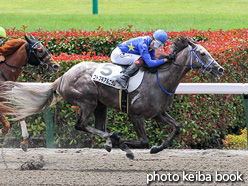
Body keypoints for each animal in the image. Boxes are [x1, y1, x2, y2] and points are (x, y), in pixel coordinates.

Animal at [0, 36, 224, 158]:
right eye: (202, 54)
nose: (220, 69)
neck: (161, 79)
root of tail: (63, 77)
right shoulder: (136, 115)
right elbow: (143, 141)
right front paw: (126, 142)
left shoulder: (158, 113)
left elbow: (177, 127)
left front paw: (158, 147)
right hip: (88, 101)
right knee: (81, 125)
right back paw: (113, 139)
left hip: (101, 105)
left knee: (98, 127)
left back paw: (111, 140)